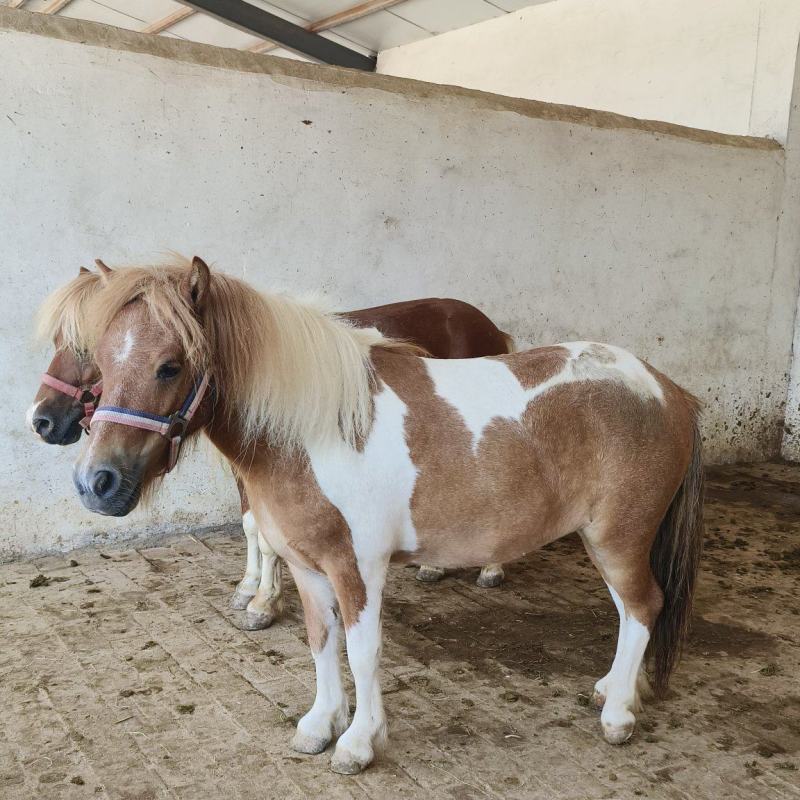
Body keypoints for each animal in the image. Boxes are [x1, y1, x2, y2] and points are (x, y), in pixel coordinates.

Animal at [31, 262, 512, 629]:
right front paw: (250, 589)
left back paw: (491, 567)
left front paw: (264, 602)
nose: (41, 420)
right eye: (101, 354)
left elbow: (266, 537)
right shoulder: (246, 470)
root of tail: (489, 326)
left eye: (170, 367)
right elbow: (252, 527)